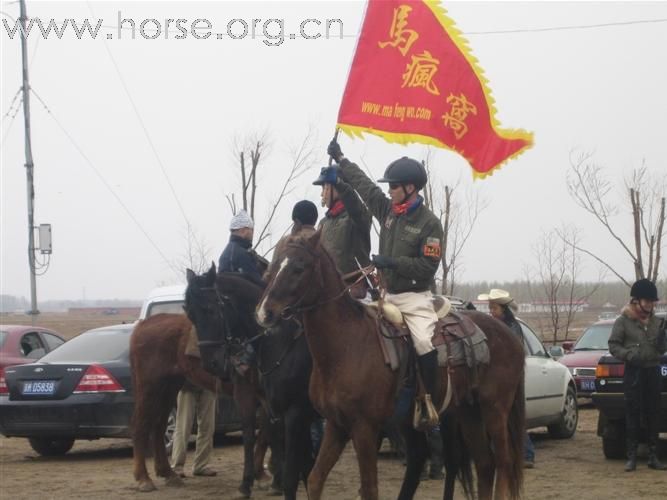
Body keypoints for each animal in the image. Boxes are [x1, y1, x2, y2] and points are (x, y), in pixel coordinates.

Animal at [183, 264, 318, 498]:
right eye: (191, 315)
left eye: (210, 310)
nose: (212, 364)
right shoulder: (248, 394)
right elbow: (252, 435)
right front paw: (250, 482)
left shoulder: (283, 404)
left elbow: (271, 434)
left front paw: (275, 477)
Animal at [256, 231, 528, 500]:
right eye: (272, 268)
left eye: (299, 268)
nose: (264, 313)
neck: (346, 346)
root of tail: (511, 337)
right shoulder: (336, 425)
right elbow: (314, 480)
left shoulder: (364, 428)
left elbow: (369, 488)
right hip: (467, 411)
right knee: (484, 464)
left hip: (494, 410)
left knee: (502, 463)